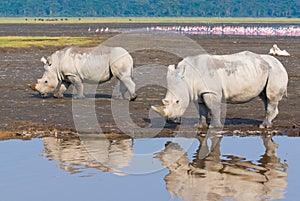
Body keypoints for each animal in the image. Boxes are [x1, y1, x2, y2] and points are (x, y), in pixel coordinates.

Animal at [152, 51, 288, 128]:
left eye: (177, 101)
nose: (170, 120)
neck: (188, 77)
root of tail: (280, 63)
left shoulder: (211, 91)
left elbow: (213, 107)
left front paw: (214, 127)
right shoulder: (199, 92)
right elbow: (202, 109)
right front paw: (200, 126)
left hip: (276, 71)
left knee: (270, 97)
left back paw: (263, 126)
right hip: (266, 70)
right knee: (265, 97)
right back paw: (268, 123)